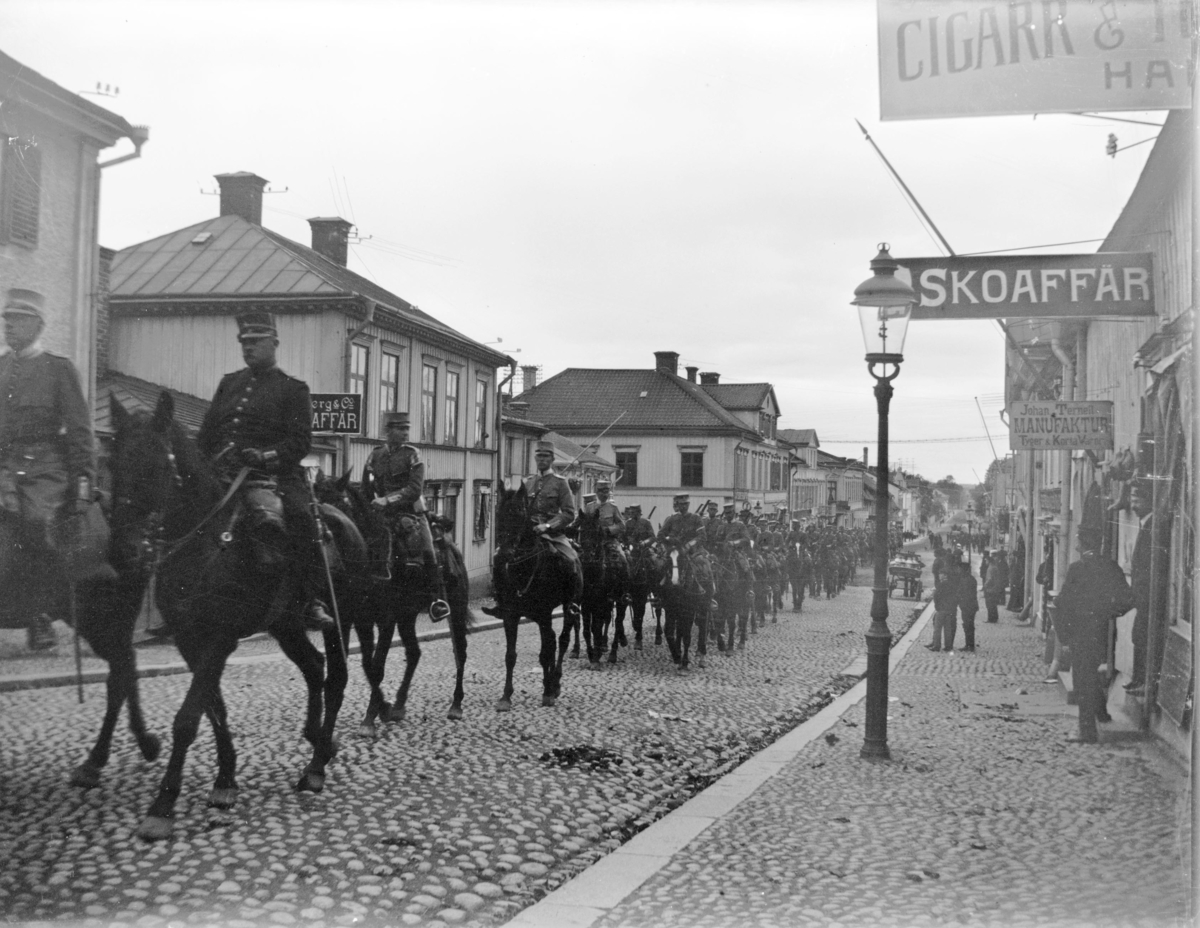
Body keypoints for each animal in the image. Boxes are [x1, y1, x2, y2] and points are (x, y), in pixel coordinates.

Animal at [109, 393, 362, 845]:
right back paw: (319, 740)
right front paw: (225, 779)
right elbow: (215, 709)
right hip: (286, 625)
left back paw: (316, 768)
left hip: (340, 618)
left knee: (336, 678)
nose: (123, 552)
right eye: (113, 462)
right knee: (314, 667)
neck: (205, 543)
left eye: (155, 464)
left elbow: (188, 718)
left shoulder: (219, 639)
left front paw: (162, 805)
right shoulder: (189, 641)